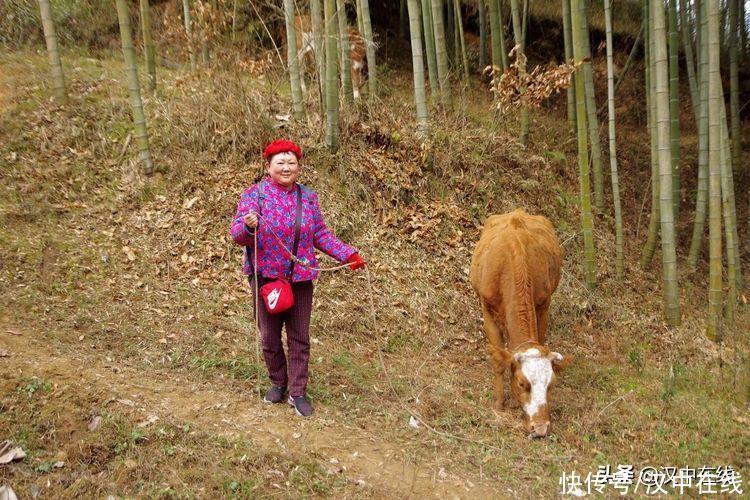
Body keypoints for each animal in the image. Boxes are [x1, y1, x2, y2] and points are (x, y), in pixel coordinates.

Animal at [472, 209, 572, 436]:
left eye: (551, 385)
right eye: (521, 383)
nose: (540, 428)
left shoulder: (543, 304)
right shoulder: (486, 307)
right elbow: (499, 360)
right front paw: (498, 403)